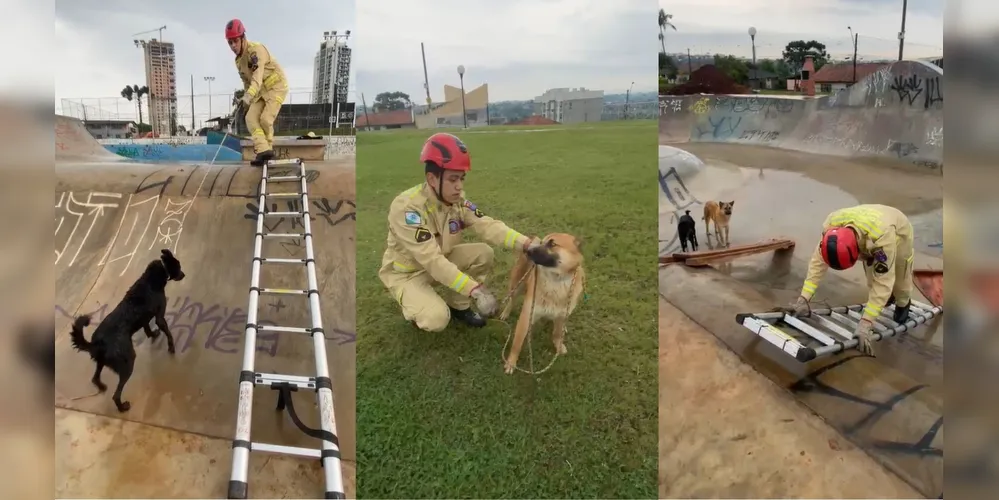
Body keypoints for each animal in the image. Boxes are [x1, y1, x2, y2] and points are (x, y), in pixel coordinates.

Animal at [71, 248, 188, 412]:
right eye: (178, 266)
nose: (183, 274)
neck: (150, 279)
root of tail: (97, 343)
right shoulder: (159, 317)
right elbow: (168, 333)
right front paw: (171, 347)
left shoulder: (145, 318)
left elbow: (147, 328)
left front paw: (152, 335)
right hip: (127, 363)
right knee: (116, 394)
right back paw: (122, 407)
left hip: (101, 361)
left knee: (95, 378)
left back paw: (102, 387)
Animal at [500, 232, 584, 374]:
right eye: (541, 243)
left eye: (552, 244)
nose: (527, 250)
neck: (555, 281)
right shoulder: (526, 317)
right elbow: (517, 343)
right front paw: (511, 362)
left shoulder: (561, 314)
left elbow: (557, 333)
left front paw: (558, 345)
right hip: (518, 286)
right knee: (511, 300)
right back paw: (505, 313)